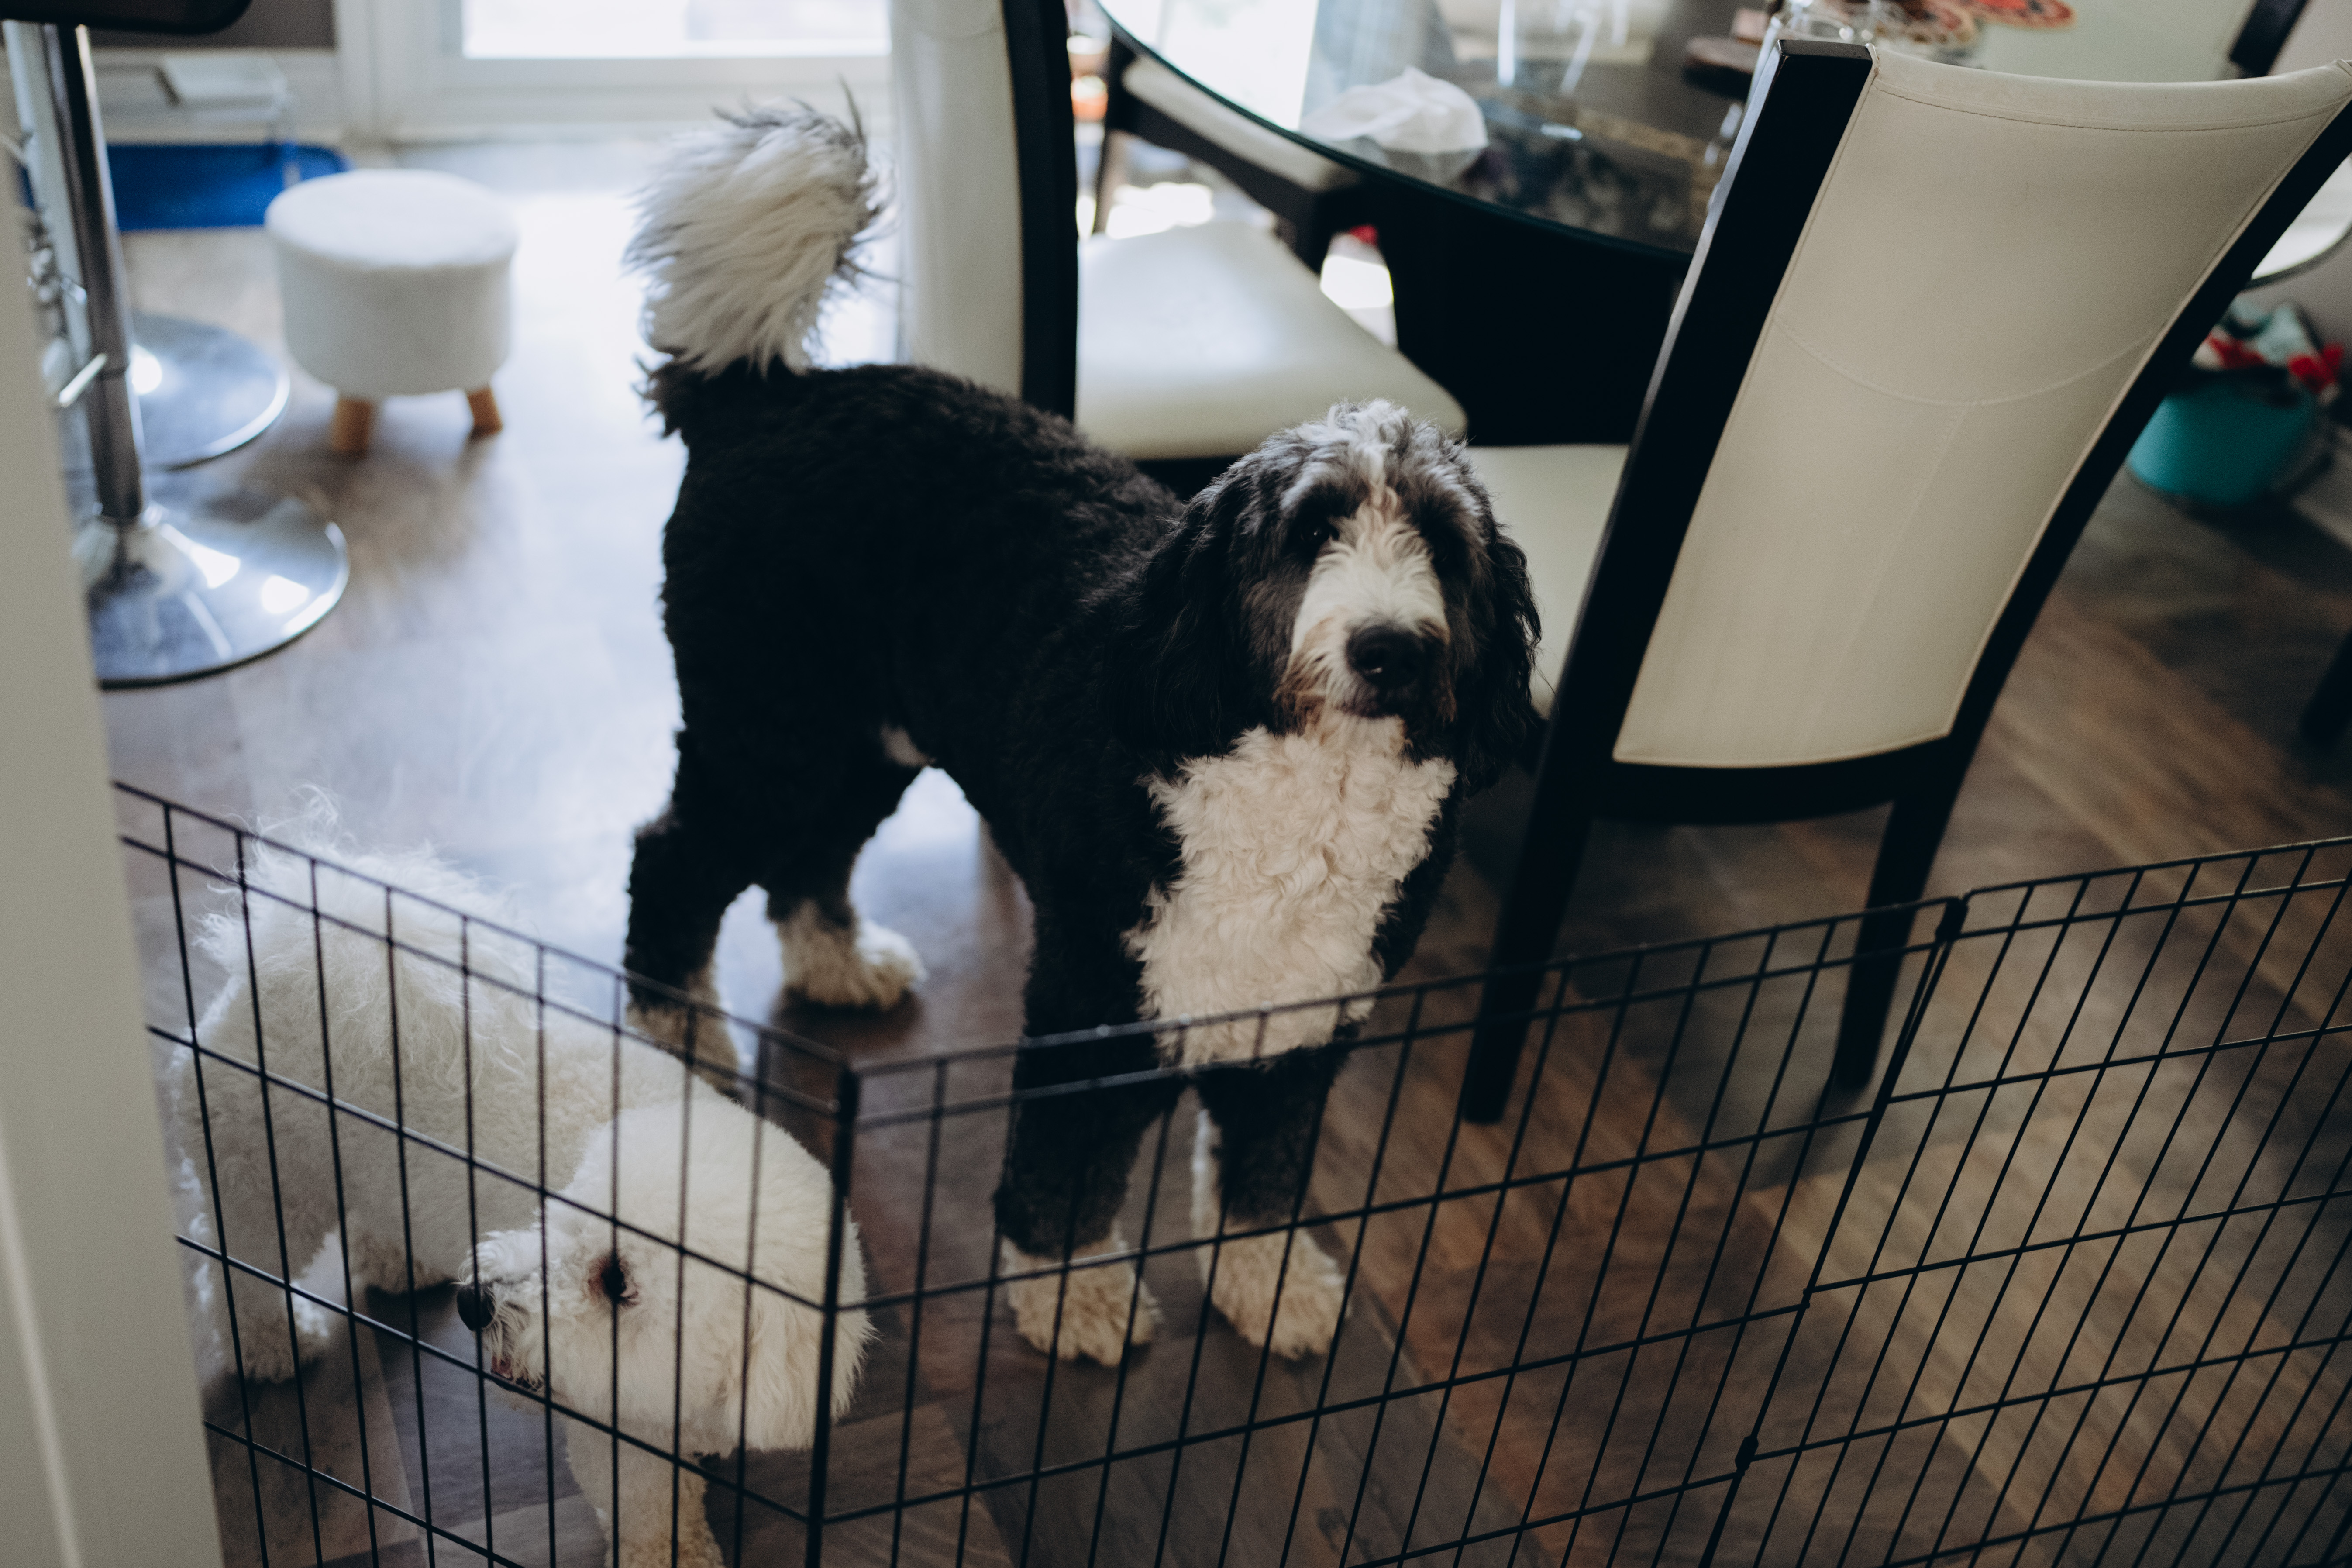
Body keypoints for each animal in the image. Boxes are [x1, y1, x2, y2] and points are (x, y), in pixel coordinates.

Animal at [160, 829, 870, 1568]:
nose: (476, 1301)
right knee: (238, 1265)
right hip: (265, 1175)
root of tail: (288, 958)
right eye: (558, 1214)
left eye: (615, 1279)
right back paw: (271, 1344)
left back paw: (397, 1259)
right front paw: (668, 1553)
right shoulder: (619, 1435)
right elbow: (647, 1504)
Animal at [621, 106, 1539, 1366]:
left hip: (866, 739)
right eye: (1310, 534)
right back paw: (679, 1052)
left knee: (811, 853)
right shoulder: (1089, 1004)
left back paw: (833, 962)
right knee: (673, 860)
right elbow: (1064, 1178)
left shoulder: (1303, 1020)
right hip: (770, 728)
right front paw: (1074, 1295)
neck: (1300, 794)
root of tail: (766, 394)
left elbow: (1266, 1168)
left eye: (1444, 550)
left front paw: (1268, 1283)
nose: (1389, 649)